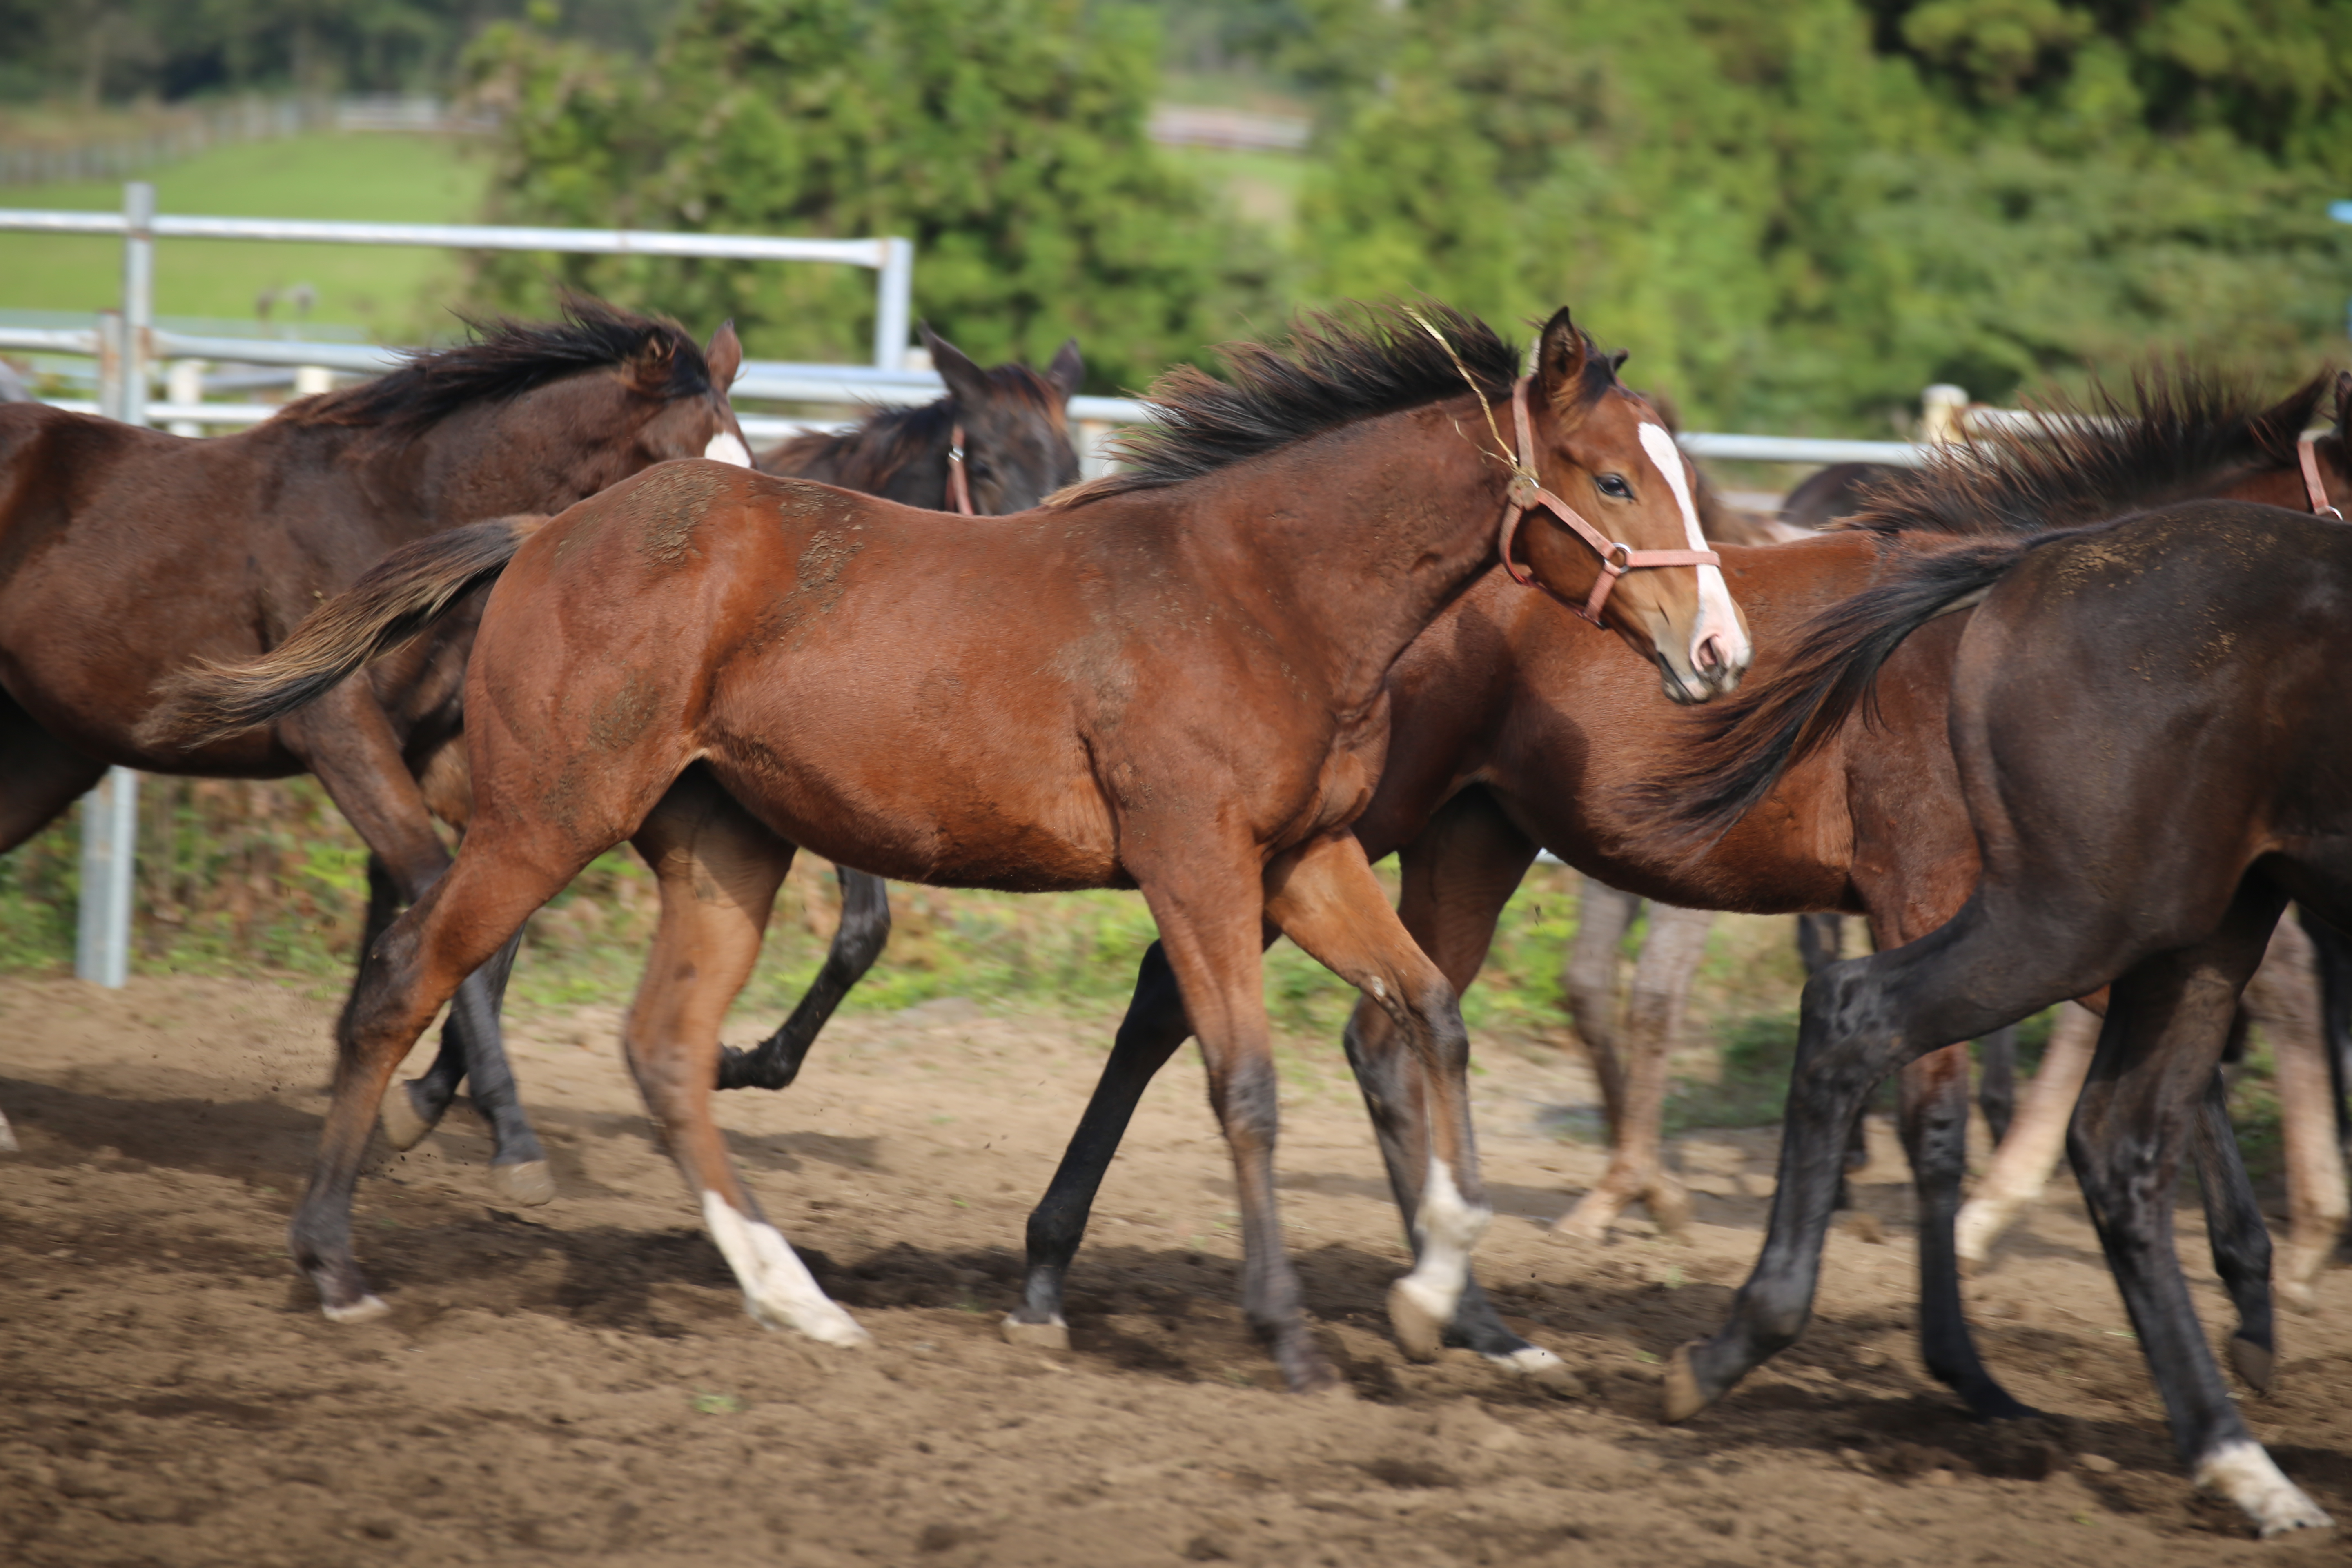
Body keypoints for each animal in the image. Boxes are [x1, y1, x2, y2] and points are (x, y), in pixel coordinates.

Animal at [147, 301, 1759, 1392]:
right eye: (1615, 481)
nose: (1719, 652)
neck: (1261, 593)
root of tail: (539, 533)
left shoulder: (1308, 856)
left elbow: (1426, 1011)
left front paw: (1438, 1288)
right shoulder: (1196, 863)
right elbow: (1244, 1082)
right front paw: (1293, 1331)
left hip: (724, 851)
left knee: (664, 1049)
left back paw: (796, 1296)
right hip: (548, 815)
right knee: (407, 974)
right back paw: (335, 1260)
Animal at [988, 364, 2333, 1410]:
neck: (1993, 622)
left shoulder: (2100, 909)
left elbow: (2182, 1071)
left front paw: (2254, 1300)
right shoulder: (1952, 896)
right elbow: (1944, 1120)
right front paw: (1969, 1364)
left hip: (1467, 843)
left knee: (1383, 1029)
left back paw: (1464, 1311)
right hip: (1317, 835)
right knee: (1176, 999)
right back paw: (1057, 1272)